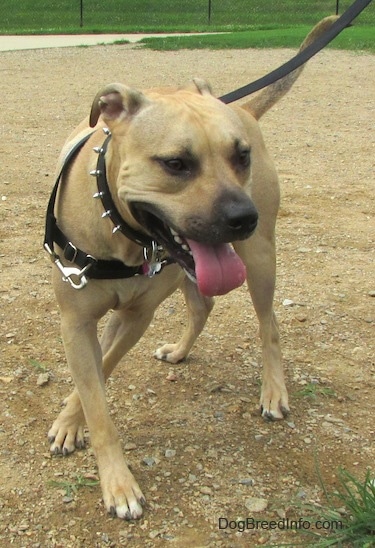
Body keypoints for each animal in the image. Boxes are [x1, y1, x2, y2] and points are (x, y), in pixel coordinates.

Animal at [47, 17, 338, 520]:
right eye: (175, 163)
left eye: (241, 155)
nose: (243, 217)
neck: (121, 232)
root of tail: (238, 105)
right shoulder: (79, 321)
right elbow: (95, 388)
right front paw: (77, 427)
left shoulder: (135, 316)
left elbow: (102, 374)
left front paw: (114, 481)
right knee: (202, 308)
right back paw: (181, 351)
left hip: (258, 259)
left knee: (268, 324)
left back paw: (273, 391)